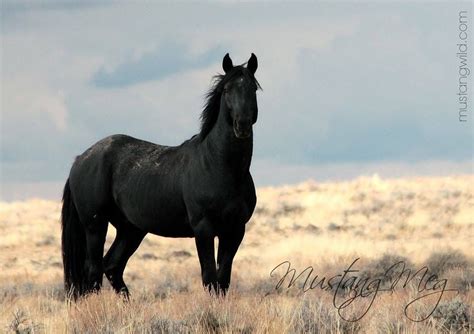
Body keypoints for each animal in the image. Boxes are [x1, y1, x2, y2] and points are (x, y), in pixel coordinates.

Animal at [61, 53, 262, 298]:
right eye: (226, 90)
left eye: (253, 88)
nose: (242, 125)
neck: (220, 168)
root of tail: (81, 158)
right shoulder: (203, 229)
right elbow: (209, 277)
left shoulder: (234, 230)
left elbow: (223, 279)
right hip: (95, 225)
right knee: (94, 270)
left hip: (130, 230)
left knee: (112, 266)